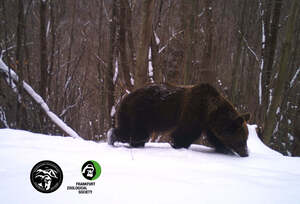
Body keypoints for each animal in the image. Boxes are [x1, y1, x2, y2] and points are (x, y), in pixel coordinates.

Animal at [108, 83, 251, 157]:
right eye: (242, 139)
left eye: (246, 138)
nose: (246, 153)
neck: (211, 111)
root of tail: (125, 98)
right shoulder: (194, 111)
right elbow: (185, 133)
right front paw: (178, 145)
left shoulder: (209, 125)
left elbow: (215, 138)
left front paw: (225, 149)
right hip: (140, 114)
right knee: (136, 134)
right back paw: (114, 138)